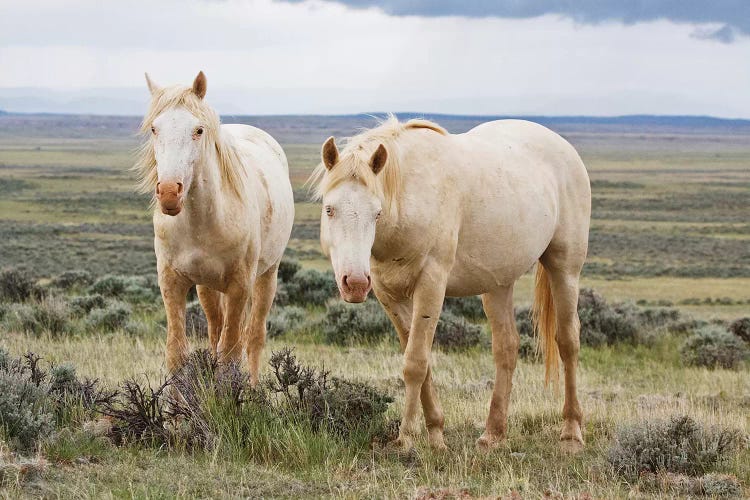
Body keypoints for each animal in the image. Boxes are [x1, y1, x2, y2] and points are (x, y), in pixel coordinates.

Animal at [135, 71, 294, 382]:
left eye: (198, 130)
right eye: (154, 129)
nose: (170, 192)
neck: (202, 223)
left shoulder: (239, 286)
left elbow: (230, 353)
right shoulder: (171, 282)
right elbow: (177, 352)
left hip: (267, 275)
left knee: (253, 336)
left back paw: (253, 386)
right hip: (207, 286)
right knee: (215, 330)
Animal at [312, 117, 592, 454]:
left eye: (377, 213)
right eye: (329, 209)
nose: (354, 283)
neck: (411, 197)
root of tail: (564, 146)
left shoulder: (431, 284)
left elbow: (415, 363)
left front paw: (407, 438)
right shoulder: (388, 293)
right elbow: (420, 361)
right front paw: (435, 434)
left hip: (565, 269)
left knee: (567, 342)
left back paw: (571, 432)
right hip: (498, 283)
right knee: (507, 348)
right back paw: (493, 434)